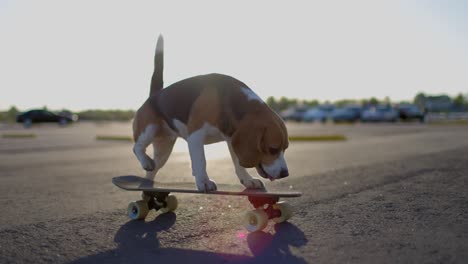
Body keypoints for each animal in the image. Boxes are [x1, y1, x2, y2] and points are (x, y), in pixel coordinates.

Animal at [132, 35, 288, 192]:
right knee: (137, 148)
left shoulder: (232, 139)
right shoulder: (195, 136)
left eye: (285, 148)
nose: (285, 174)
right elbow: (201, 161)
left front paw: (248, 180)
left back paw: (147, 184)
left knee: (153, 169)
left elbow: (238, 163)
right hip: (149, 129)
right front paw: (204, 181)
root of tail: (155, 95)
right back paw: (146, 162)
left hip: (163, 149)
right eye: (273, 149)